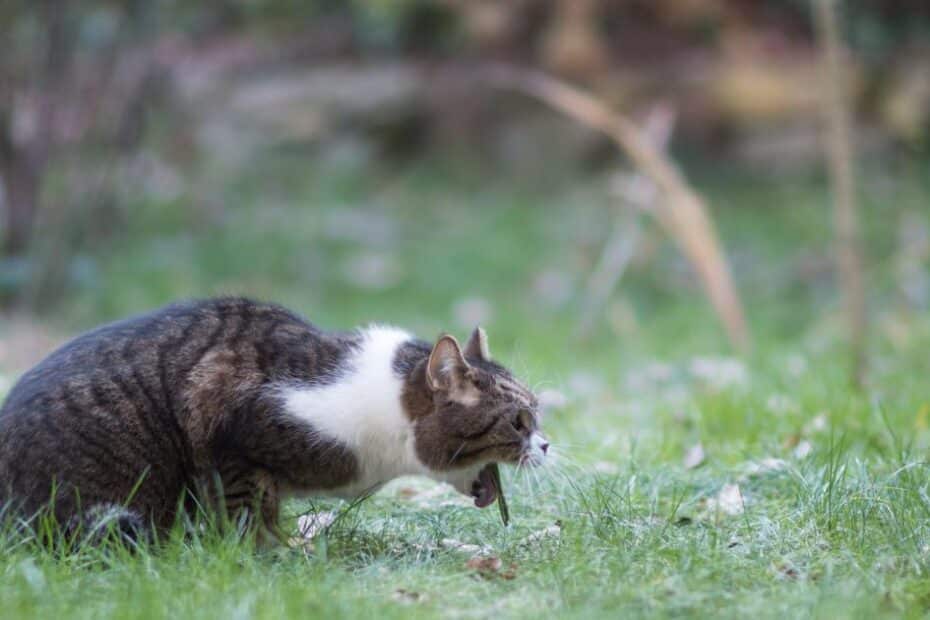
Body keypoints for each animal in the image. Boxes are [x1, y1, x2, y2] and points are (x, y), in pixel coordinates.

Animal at [0, 298, 548, 540]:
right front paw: (269, 557)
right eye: (519, 422)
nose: (546, 444)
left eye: (537, 415)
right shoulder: (227, 426)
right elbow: (247, 512)